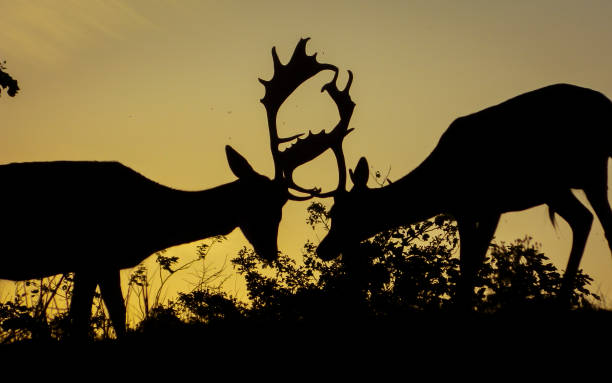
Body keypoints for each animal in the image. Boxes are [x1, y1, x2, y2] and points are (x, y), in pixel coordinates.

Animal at [0, 38, 356, 340]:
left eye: (280, 207)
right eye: (258, 204)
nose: (271, 250)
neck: (152, 221)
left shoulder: (98, 262)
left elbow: (108, 319)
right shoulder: (94, 255)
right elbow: (93, 322)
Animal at [316, 82, 612, 310]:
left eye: (342, 213)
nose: (323, 248)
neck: (441, 186)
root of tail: (607, 104)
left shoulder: (475, 206)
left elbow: (468, 264)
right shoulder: (482, 209)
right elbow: (473, 261)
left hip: (584, 172)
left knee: (596, 222)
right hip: (561, 187)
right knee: (584, 219)